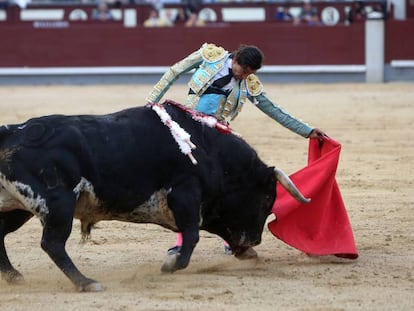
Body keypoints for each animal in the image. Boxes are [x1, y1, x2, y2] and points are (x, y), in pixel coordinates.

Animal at [0, 103, 308, 292]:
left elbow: (198, 231)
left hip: (17, 208)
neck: (210, 150)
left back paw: (14, 276)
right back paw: (86, 282)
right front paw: (171, 265)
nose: (254, 241)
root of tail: (10, 133)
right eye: (266, 200)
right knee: (52, 243)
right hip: (58, 204)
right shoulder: (185, 192)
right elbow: (192, 235)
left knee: (3, 234)